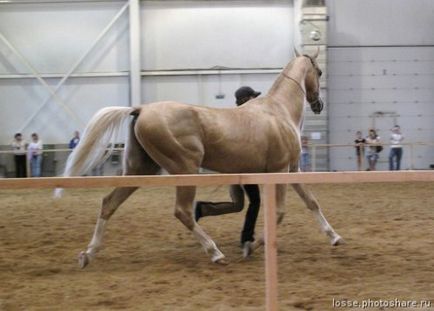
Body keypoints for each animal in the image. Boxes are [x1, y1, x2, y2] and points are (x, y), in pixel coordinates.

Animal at [56, 48, 342, 268]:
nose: (319, 105)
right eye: (319, 72)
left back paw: (87, 254)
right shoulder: (279, 171)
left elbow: (312, 202)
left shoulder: (292, 169)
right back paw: (215, 253)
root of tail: (141, 109)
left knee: (108, 203)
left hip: (140, 170)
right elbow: (280, 213)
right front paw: (251, 246)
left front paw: (335, 237)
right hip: (185, 169)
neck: (279, 112)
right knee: (182, 211)